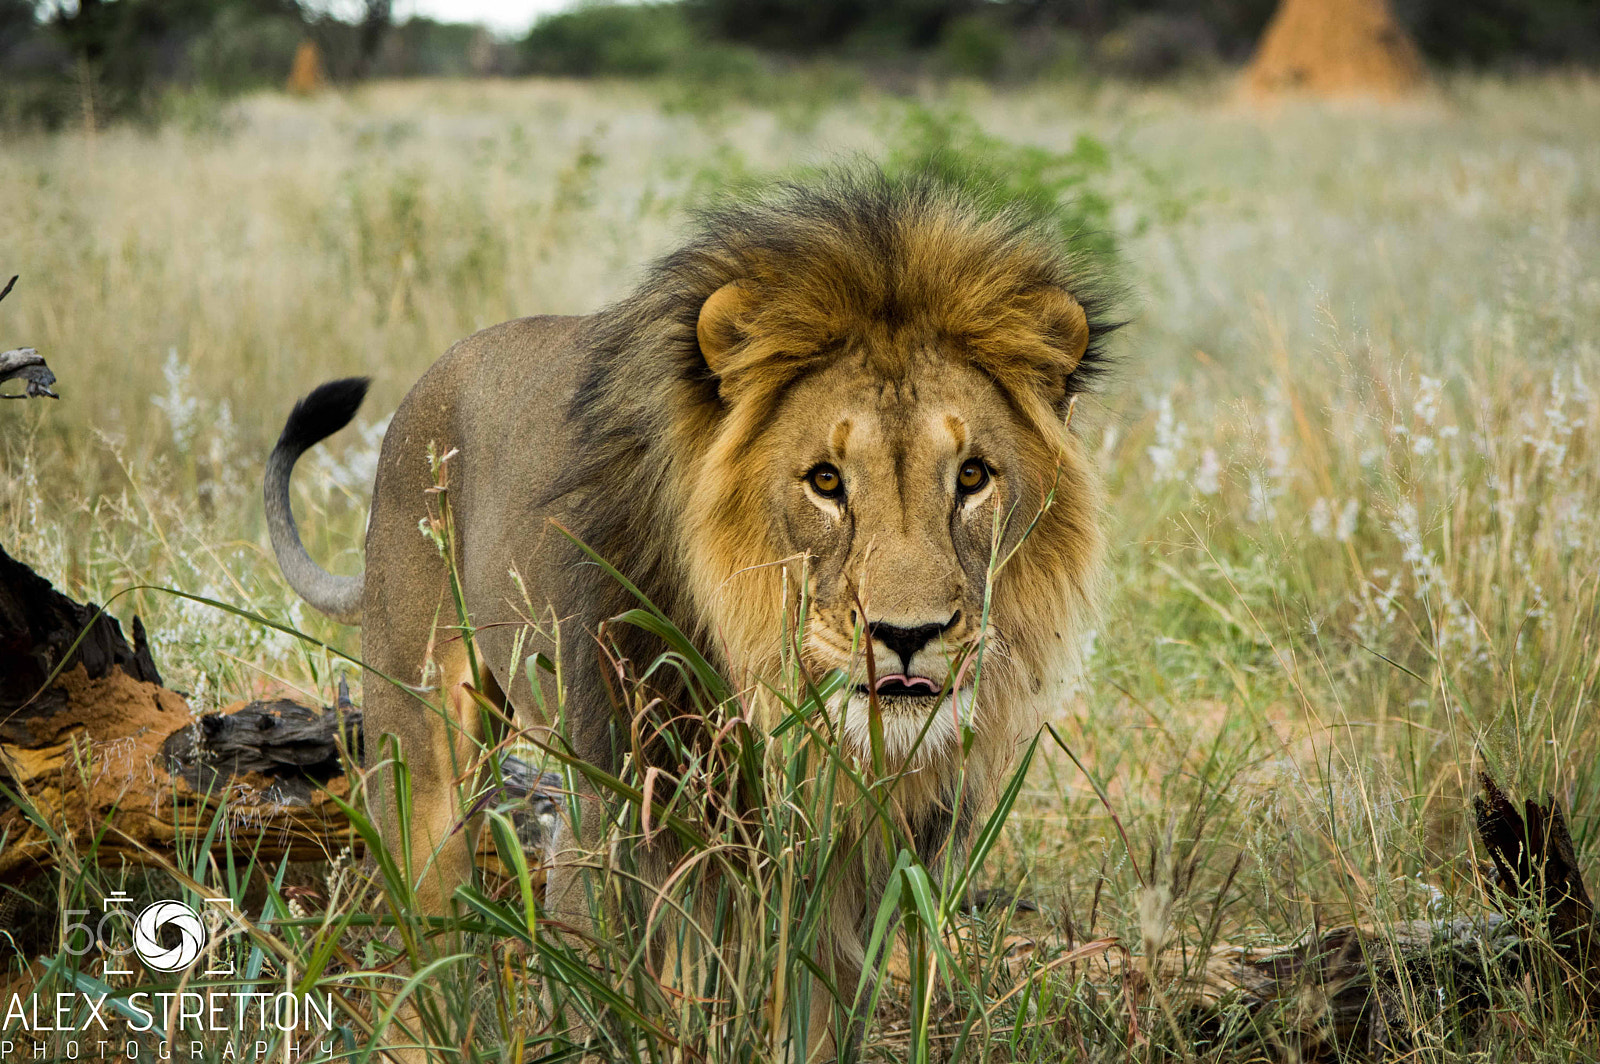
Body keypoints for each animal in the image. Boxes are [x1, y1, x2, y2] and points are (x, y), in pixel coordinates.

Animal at [264, 169, 1115, 1058]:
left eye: (973, 476)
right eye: (825, 481)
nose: (907, 637)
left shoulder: (855, 862)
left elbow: (812, 1014)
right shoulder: (614, 813)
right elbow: (613, 1003)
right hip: (418, 739)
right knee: (417, 932)